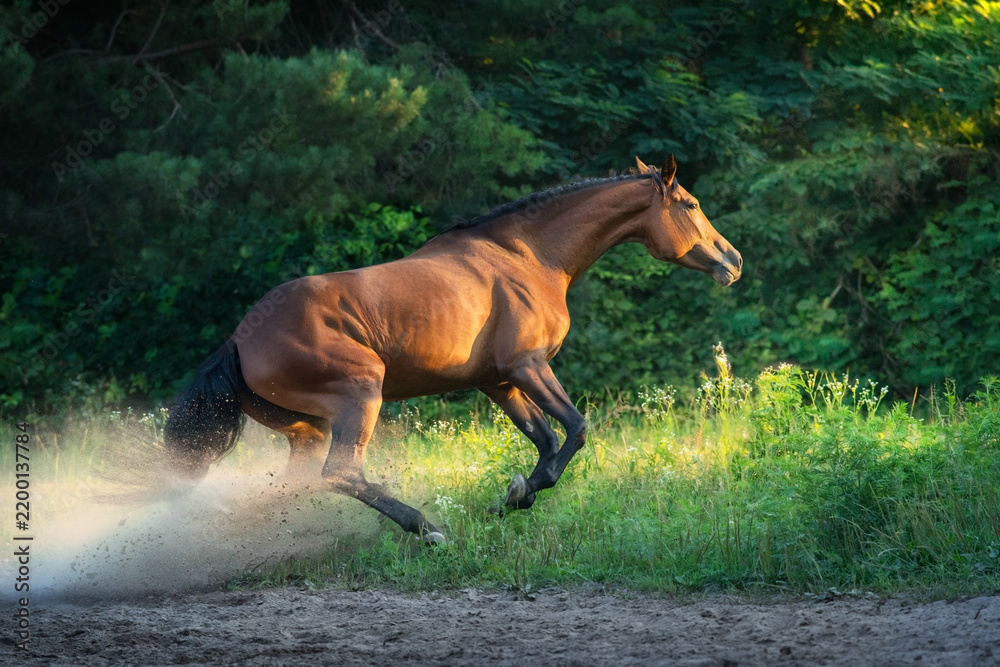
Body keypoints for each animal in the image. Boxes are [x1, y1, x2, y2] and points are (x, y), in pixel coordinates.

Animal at [162, 156, 742, 543]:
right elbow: (575, 430)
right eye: (690, 204)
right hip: (360, 396)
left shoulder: (499, 381)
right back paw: (427, 529)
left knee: (295, 484)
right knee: (342, 474)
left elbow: (546, 440)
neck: (531, 258)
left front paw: (516, 496)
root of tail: (239, 340)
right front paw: (517, 494)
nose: (732, 261)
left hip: (305, 429)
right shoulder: (528, 367)